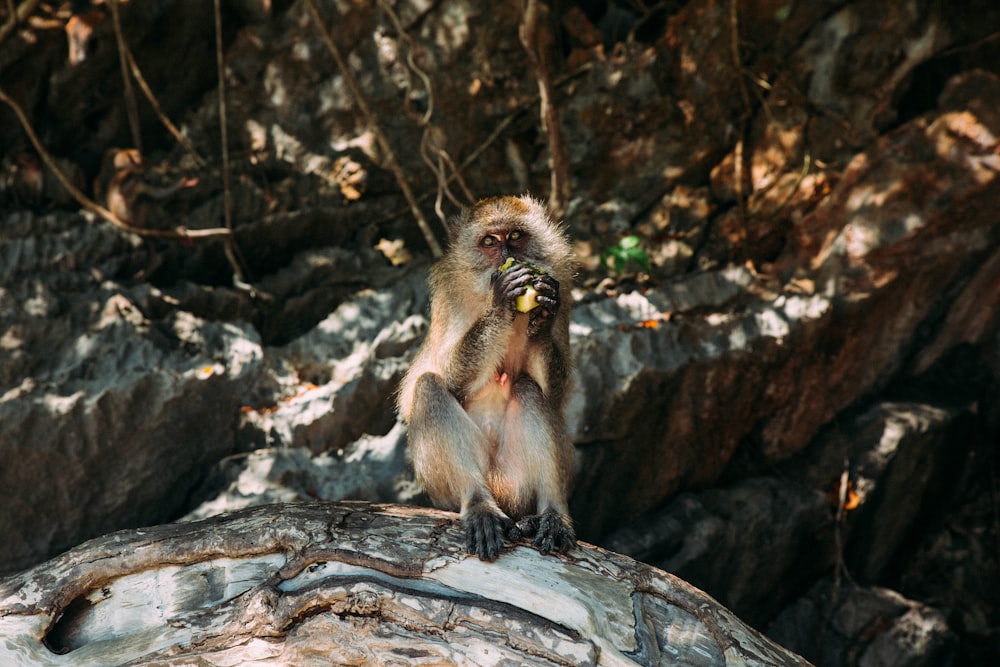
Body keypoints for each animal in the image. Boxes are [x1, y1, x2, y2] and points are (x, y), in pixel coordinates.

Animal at [394, 196, 576, 560]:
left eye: (516, 236)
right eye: (490, 242)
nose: (507, 256)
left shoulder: (563, 286)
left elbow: (555, 396)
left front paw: (543, 315)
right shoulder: (448, 296)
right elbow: (447, 379)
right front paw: (502, 300)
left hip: (516, 483)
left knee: (528, 388)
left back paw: (550, 514)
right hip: (444, 490)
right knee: (429, 387)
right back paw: (480, 505)